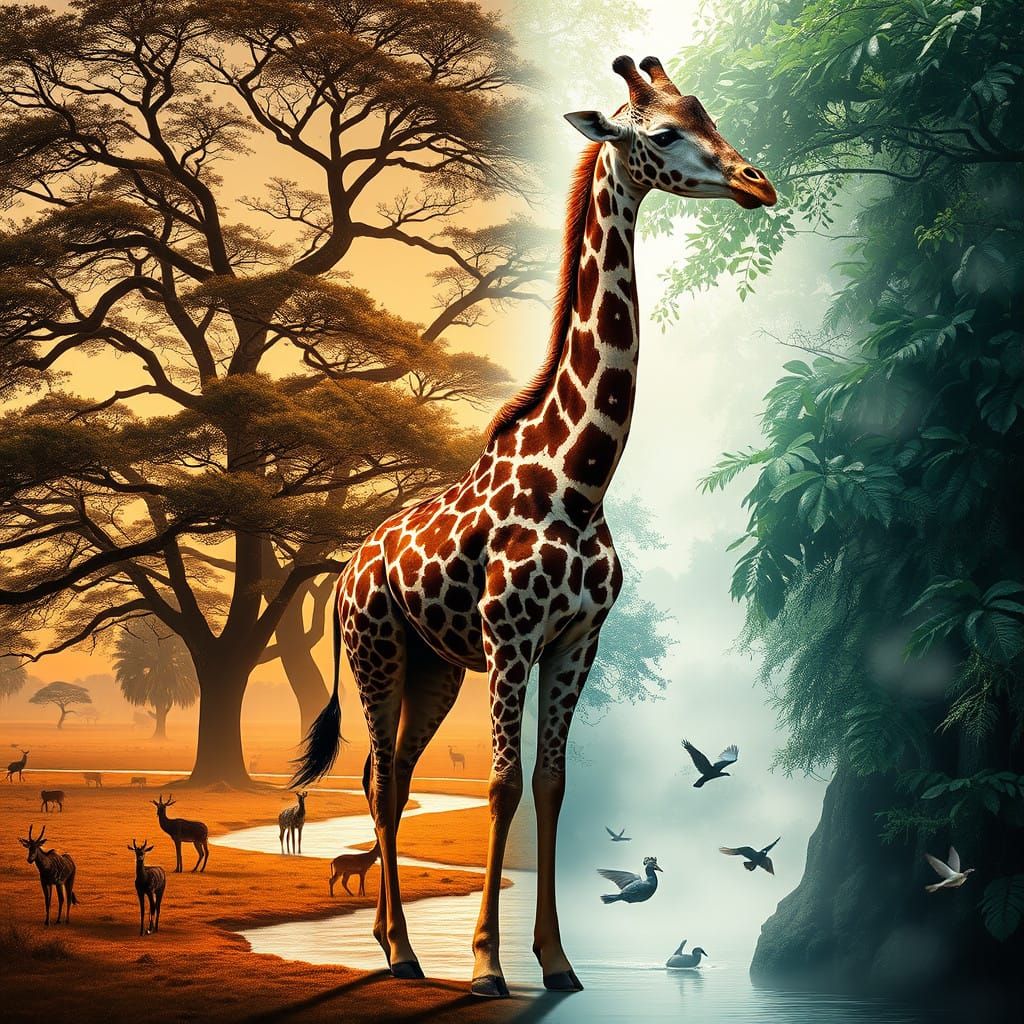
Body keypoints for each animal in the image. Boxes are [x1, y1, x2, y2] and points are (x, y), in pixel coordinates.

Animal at [293, 54, 776, 998]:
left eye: (709, 116)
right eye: (664, 133)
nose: (756, 183)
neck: (581, 478)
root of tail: (345, 570)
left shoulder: (578, 639)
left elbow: (551, 785)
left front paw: (556, 962)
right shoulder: (512, 635)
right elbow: (502, 786)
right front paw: (488, 964)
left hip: (435, 670)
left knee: (386, 776)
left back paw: (393, 944)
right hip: (377, 651)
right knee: (382, 783)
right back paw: (405, 951)